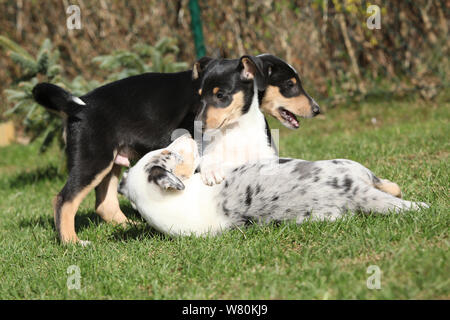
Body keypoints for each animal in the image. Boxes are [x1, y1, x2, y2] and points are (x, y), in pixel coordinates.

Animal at [118, 134, 428, 236]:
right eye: (168, 153)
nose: (188, 137)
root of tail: (353, 194)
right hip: (351, 166)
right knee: (388, 187)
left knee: (390, 187)